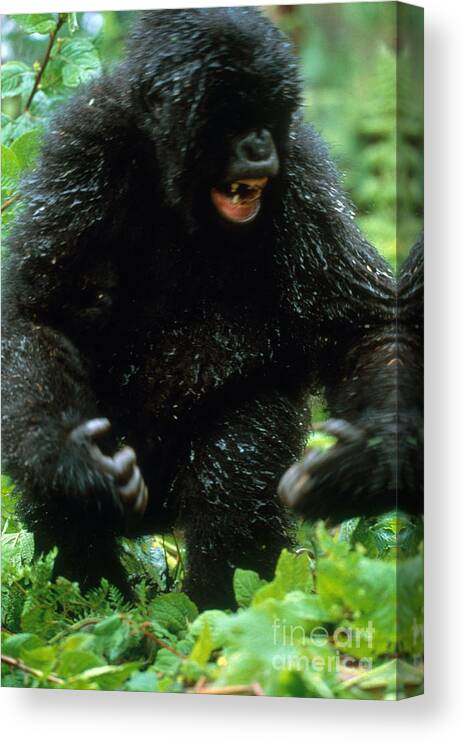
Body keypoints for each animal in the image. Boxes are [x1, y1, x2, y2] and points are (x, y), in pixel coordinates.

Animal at [0, 7, 416, 612]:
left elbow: (358, 328)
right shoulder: (81, 153)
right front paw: (69, 462)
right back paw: (86, 590)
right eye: (231, 112)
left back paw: (213, 605)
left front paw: (362, 465)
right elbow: (41, 318)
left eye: (269, 112)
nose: (259, 144)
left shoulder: (305, 174)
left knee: (237, 466)